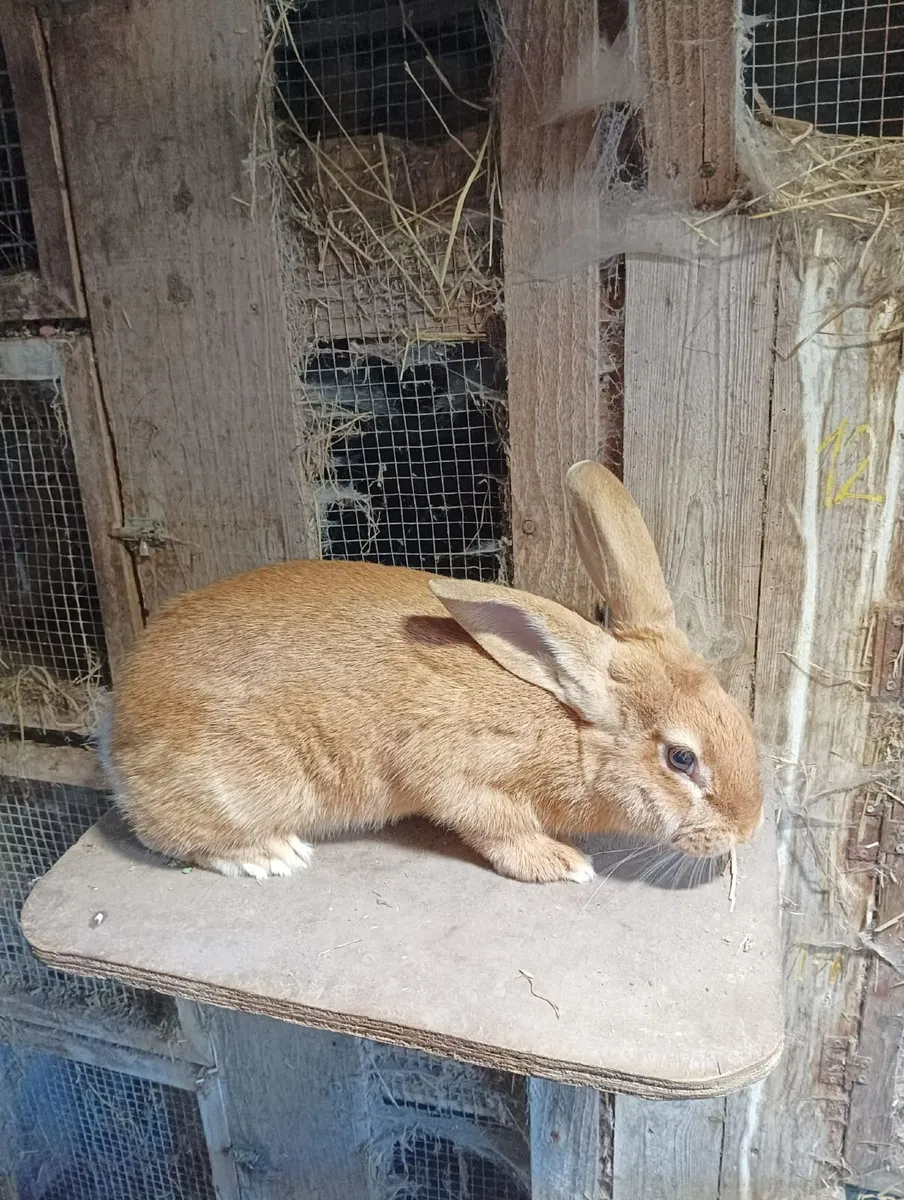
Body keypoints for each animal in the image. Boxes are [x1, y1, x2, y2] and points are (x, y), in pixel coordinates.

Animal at [104, 461, 763, 885]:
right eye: (681, 758)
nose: (748, 829)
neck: (569, 729)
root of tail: (121, 728)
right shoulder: (460, 773)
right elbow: (497, 829)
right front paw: (563, 864)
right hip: (240, 784)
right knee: (167, 833)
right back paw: (269, 856)